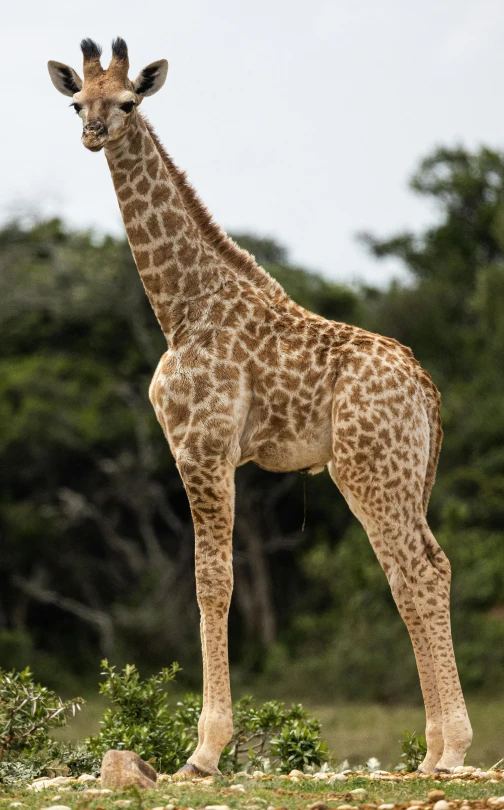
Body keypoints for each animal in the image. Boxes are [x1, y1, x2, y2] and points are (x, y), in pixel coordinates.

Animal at [47, 38, 472, 776]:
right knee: (426, 567)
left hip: (368, 469)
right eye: (77, 102)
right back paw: (435, 752)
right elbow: (215, 584)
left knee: (414, 572)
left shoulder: (205, 447)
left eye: (127, 102)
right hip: (405, 472)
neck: (180, 310)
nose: (93, 133)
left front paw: (204, 751)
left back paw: (449, 753)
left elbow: (211, 582)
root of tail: (425, 384)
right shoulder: (197, 450)